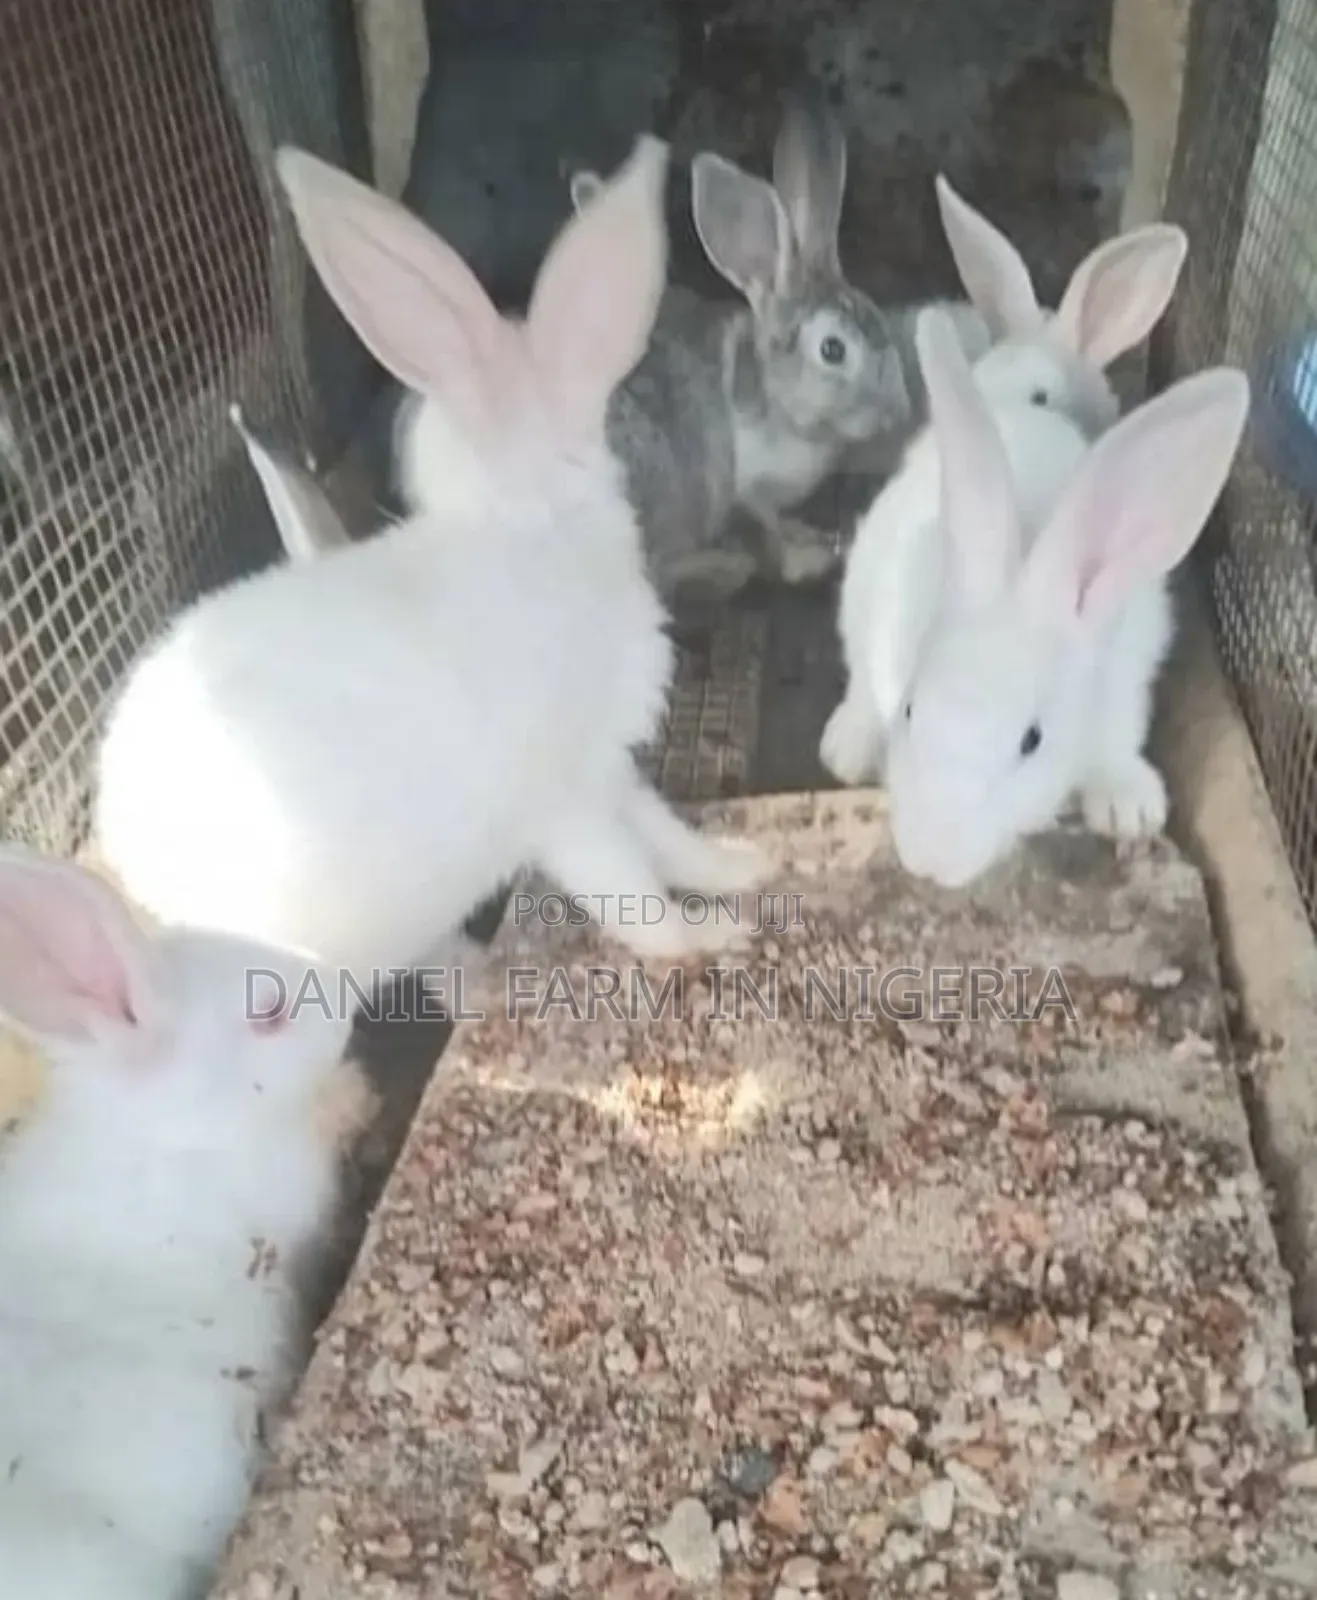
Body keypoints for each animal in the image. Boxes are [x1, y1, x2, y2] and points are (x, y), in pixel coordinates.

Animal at [399, 87, 915, 605]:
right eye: (833, 349)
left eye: (877, 317)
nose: (897, 411)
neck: (774, 394)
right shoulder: (748, 487)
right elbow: (767, 528)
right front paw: (806, 556)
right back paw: (724, 568)